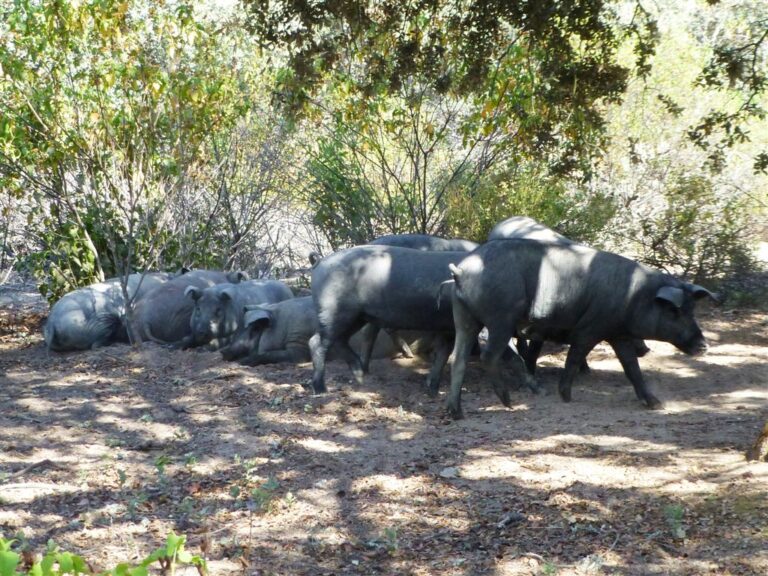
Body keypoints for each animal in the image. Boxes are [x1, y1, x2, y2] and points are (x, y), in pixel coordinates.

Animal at [219, 296, 396, 365]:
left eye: (254, 329)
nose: (222, 351)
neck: (281, 324)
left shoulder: (299, 345)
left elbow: (272, 355)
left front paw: (244, 362)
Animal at [309, 245, 468, 395]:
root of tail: (320, 263)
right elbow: (445, 351)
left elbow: (443, 351)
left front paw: (430, 385)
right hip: (334, 310)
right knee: (317, 342)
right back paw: (321, 390)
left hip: (357, 316)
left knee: (339, 340)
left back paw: (360, 377)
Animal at [446, 239, 717, 419]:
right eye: (675, 311)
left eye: (692, 310)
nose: (703, 346)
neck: (634, 296)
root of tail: (461, 270)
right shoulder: (590, 328)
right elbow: (574, 358)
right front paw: (566, 396)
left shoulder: (618, 334)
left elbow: (632, 368)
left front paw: (656, 404)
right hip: (501, 317)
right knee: (488, 355)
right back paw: (508, 402)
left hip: (463, 315)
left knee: (458, 359)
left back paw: (455, 412)